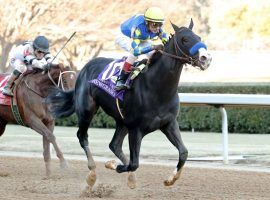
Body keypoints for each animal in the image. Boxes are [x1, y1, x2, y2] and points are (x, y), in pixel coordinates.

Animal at [47, 19, 211, 188]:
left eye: (198, 37)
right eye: (184, 39)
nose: (205, 58)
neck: (157, 87)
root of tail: (85, 68)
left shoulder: (169, 123)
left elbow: (183, 152)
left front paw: (170, 179)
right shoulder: (136, 129)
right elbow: (134, 163)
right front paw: (114, 165)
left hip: (122, 120)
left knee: (114, 144)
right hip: (87, 111)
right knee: (83, 136)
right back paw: (92, 172)